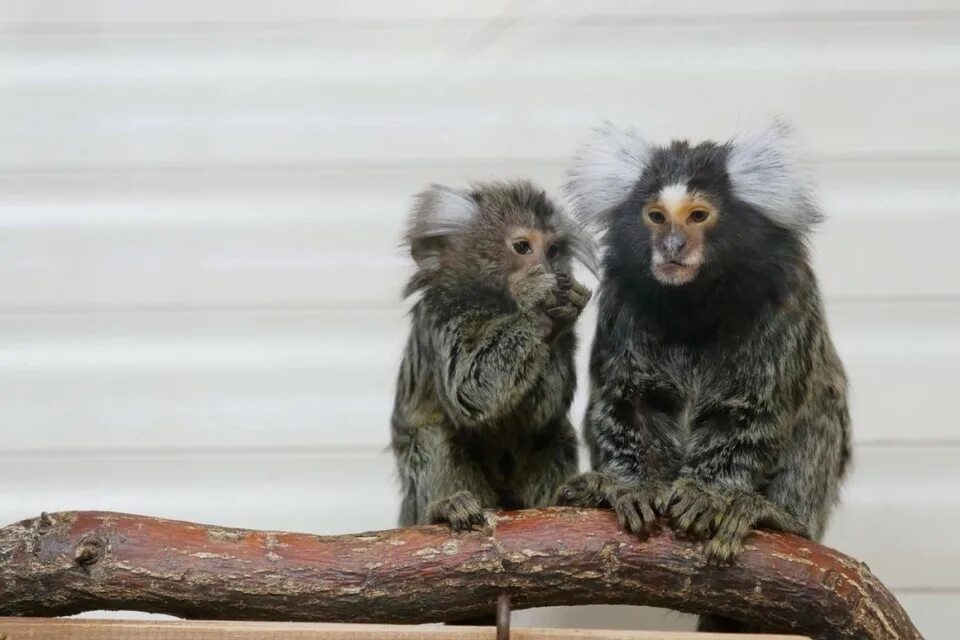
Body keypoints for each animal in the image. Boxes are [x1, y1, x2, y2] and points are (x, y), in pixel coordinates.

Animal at [390, 180, 592, 536]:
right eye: (523, 247)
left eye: (553, 250)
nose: (549, 268)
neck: (498, 307)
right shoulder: (443, 318)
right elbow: (469, 391)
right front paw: (536, 308)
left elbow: (539, 414)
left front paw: (552, 321)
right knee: (432, 436)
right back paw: (442, 510)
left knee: (556, 433)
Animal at [560, 119, 852, 632]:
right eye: (656, 216)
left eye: (698, 216)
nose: (672, 247)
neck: (694, 305)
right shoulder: (622, 304)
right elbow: (628, 403)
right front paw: (633, 486)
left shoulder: (788, 302)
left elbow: (752, 414)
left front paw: (708, 495)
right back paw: (593, 488)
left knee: (821, 414)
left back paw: (775, 516)